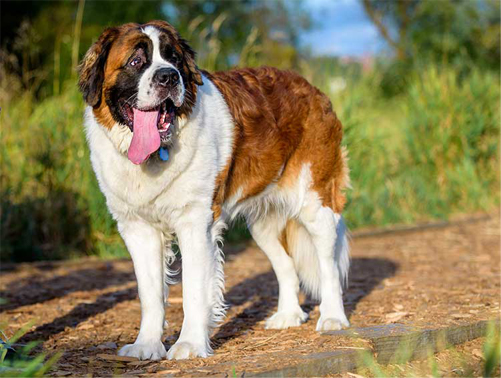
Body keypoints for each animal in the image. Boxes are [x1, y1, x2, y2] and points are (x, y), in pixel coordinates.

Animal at [78, 19, 350, 360]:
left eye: (174, 59)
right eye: (136, 61)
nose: (169, 76)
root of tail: (313, 90)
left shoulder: (195, 224)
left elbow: (194, 289)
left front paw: (190, 344)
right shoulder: (138, 229)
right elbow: (149, 293)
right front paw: (147, 345)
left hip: (316, 203)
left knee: (328, 264)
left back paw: (333, 317)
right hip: (263, 224)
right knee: (286, 264)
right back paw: (288, 315)